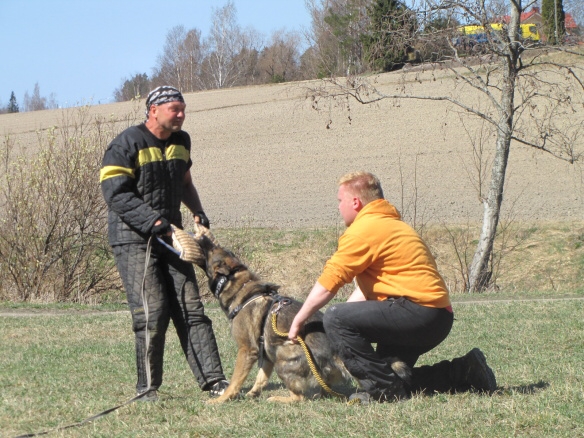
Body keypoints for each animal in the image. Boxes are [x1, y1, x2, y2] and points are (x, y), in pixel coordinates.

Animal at [194, 236, 408, 404]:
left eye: (211, 248)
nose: (202, 236)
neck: (242, 289)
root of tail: (335, 351)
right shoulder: (265, 351)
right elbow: (261, 377)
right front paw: (253, 393)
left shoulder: (247, 350)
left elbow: (236, 380)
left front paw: (223, 399)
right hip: (278, 352)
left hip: (284, 355)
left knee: (299, 398)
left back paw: (280, 399)